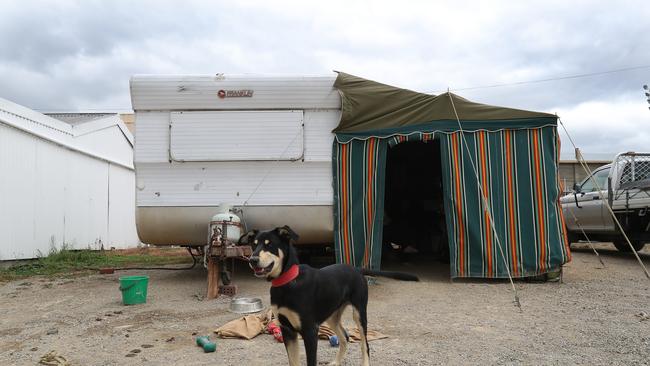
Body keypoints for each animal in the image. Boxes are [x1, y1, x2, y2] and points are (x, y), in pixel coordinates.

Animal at [240, 226, 418, 366]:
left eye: (270, 245)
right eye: (253, 245)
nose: (252, 260)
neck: (288, 282)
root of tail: (356, 269)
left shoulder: (310, 331)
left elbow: (311, 362)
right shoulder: (287, 330)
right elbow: (293, 361)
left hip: (359, 313)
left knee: (364, 344)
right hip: (332, 316)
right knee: (345, 337)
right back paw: (336, 362)